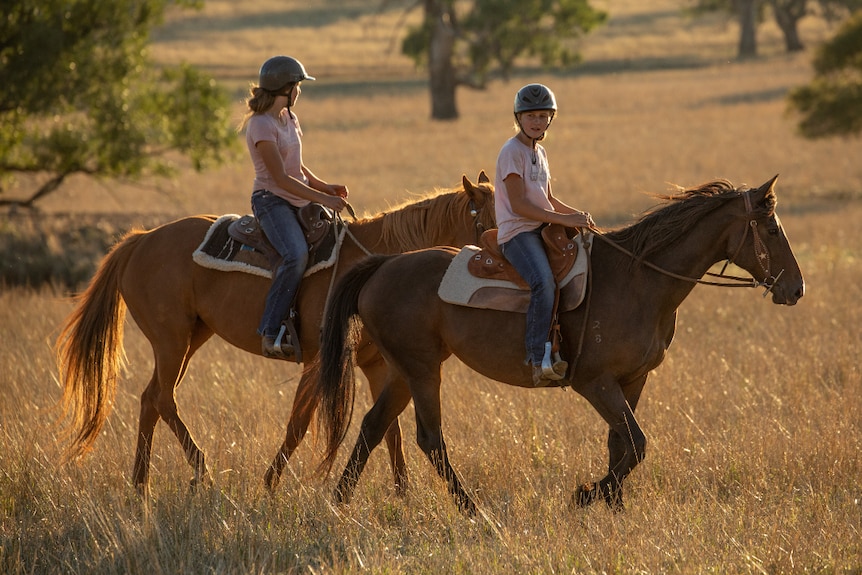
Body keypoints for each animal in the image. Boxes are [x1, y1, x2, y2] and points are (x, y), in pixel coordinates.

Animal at [57, 173, 496, 498]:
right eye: (488, 221)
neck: (372, 262)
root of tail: (140, 240)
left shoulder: (377, 364)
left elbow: (391, 428)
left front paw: (404, 494)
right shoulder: (318, 360)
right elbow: (299, 424)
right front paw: (269, 485)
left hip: (191, 337)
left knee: (151, 398)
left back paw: (141, 485)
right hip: (171, 338)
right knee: (164, 398)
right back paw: (202, 471)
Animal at [318, 176, 808, 512]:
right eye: (771, 230)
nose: (797, 288)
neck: (639, 280)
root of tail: (382, 265)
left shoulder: (633, 381)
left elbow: (620, 444)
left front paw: (613, 504)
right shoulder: (595, 383)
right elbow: (637, 443)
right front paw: (587, 495)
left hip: (404, 370)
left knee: (372, 426)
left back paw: (339, 503)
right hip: (422, 370)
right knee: (429, 438)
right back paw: (473, 511)